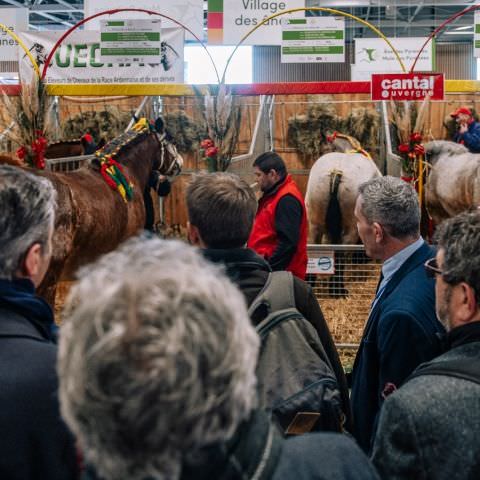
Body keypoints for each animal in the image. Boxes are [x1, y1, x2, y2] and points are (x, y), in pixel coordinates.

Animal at [306, 132, 380, 296]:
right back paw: (338, 289)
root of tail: (336, 172)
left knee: (314, 247)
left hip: (315, 223)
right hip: (351, 226)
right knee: (342, 251)